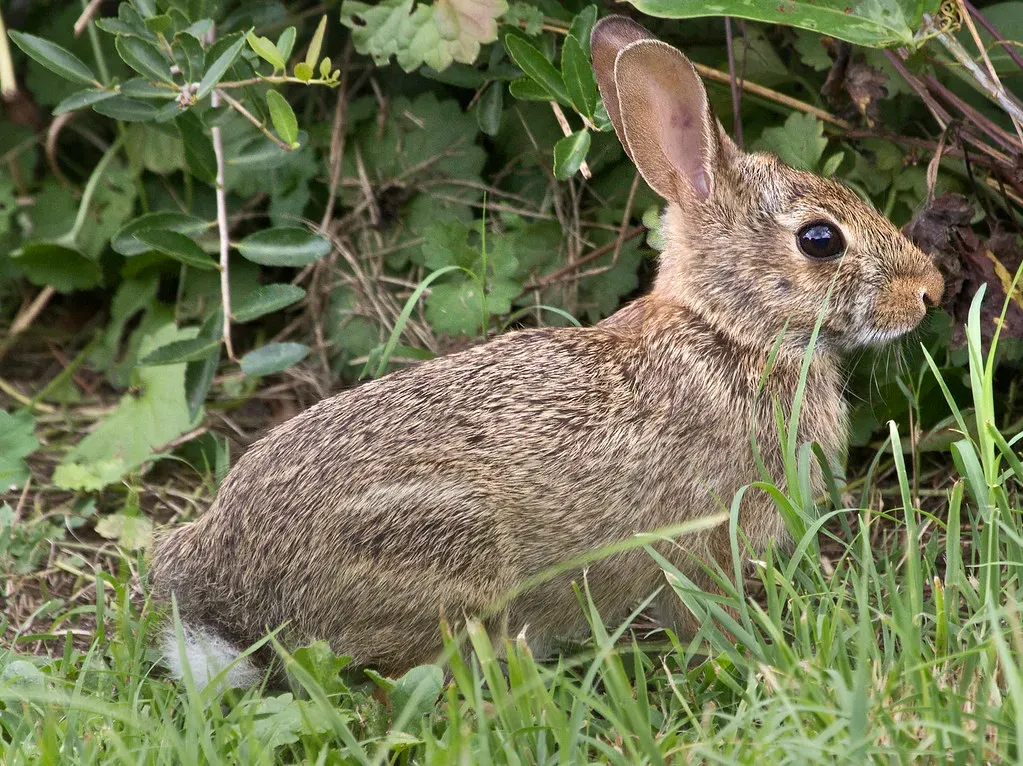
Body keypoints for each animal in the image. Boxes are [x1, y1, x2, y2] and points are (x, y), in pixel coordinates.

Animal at [147, 15, 944, 691]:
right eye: (820, 239)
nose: (929, 290)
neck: (727, 331)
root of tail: (224, 601)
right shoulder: (707, 536)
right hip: (443, 553)